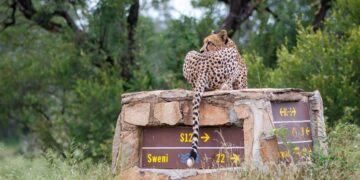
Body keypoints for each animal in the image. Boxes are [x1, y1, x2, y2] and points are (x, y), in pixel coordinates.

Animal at [183, 29, 248, 167]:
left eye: (209, 43)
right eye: (204, 42)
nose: (201, 50)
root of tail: (202, 68)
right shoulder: (243, 84)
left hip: (189, 54)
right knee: (225, 86)